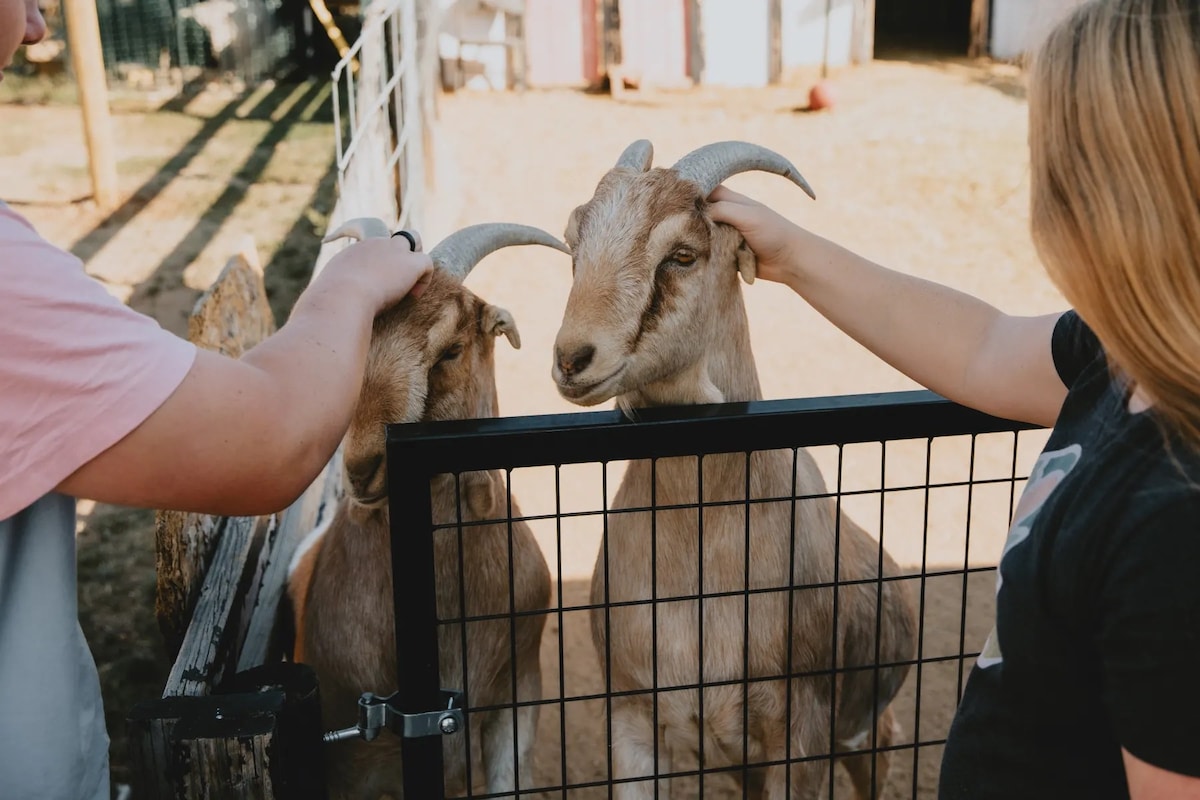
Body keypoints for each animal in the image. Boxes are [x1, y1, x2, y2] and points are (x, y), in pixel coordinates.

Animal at [552, 140, 916, 796]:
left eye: (682, 254)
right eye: (574, 242)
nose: (572, 359)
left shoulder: (799, 734)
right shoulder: (635, 719)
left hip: (862, 733)